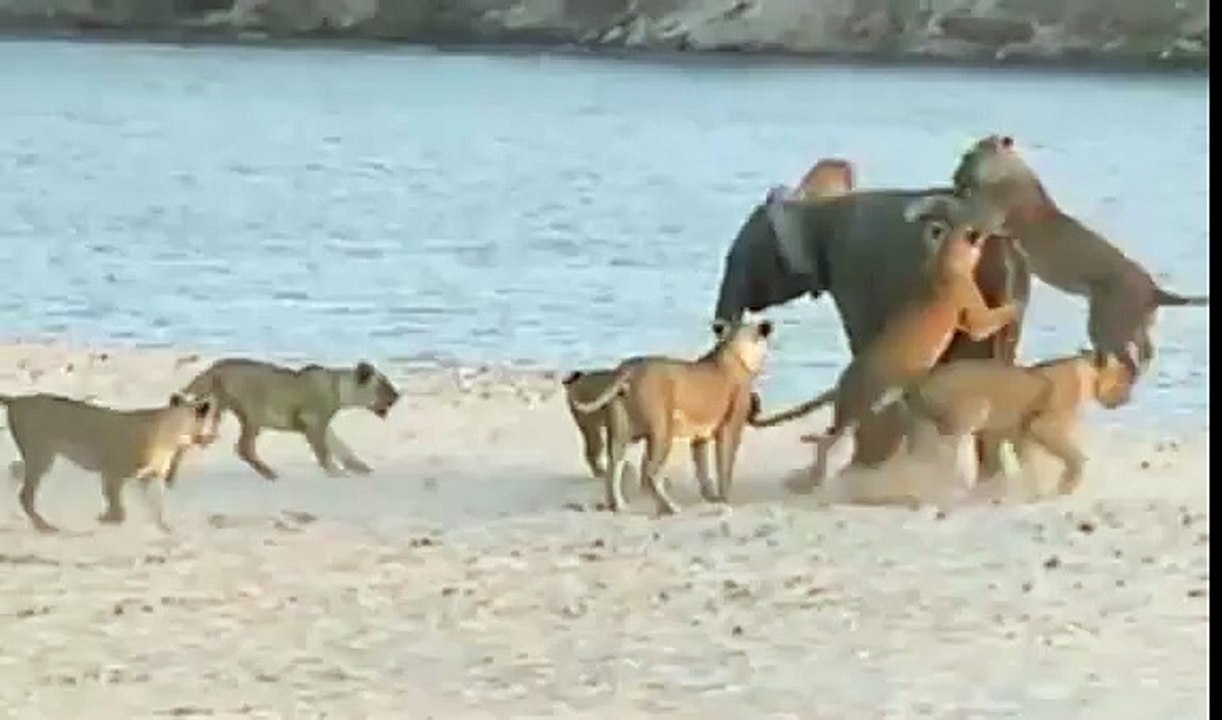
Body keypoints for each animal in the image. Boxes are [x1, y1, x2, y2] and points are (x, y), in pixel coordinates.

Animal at [1, 392, 214, 533]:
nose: (211, 437)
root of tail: (16, 399)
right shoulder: (112, 472)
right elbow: (118, 507)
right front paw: (107, 520)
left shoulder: (146, 478)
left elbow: (155, 506)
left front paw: (164, 527)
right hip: (41, 457)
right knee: (25, 494)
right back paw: (45, 526)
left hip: (38, 457)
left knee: (15, 474)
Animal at [169, 358, 400, 482]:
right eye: (384, 385)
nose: (398, 395)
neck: (339, 387)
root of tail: (212, 368)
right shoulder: (313, 422)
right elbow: (324, 452)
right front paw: (335, 473)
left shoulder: (321, 425)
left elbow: (339, 445)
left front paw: (359, 467)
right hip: (251, 413)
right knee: (244, 448)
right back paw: (270, 474)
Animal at [568, 319, 773, 515]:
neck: (734, 348)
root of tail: (629, 369)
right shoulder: (730, 430)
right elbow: (725, 468)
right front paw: (725, 499)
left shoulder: (700, 438)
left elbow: (703, 470)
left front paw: (711, 497)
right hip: (662, 433)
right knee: (648, 474)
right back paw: (670, 508)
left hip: (621, 435)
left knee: (613, 468)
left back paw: (618, 505)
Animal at [870, 350, 1134, 495]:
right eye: (1123, 378)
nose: (1128, 399)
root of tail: (921, 379)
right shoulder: (1041, 429)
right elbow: (1075, 458)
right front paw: (1065, 485)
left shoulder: (1017, 436)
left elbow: (1025, 465)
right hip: (972, 411)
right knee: (955, 446)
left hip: (926, 425)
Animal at [951, 134, 1208, 379]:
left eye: (968, 155)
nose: (956, 178)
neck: (1010, 170)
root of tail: (1154, 290)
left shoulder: (994, 214)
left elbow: (974, 215)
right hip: (1135, 325)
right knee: (1146, 353)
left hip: (1107, 322)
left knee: (1127, 360)